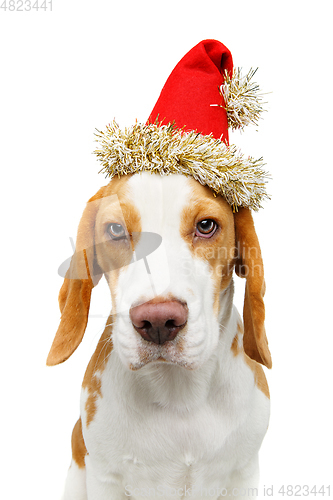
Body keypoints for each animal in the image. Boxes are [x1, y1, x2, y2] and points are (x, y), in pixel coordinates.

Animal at [48, 170, 272, 498]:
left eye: (206, 226)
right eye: (116, 229)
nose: (157, 321)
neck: (179, 397)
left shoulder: (243, 474)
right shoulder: (105, 477)